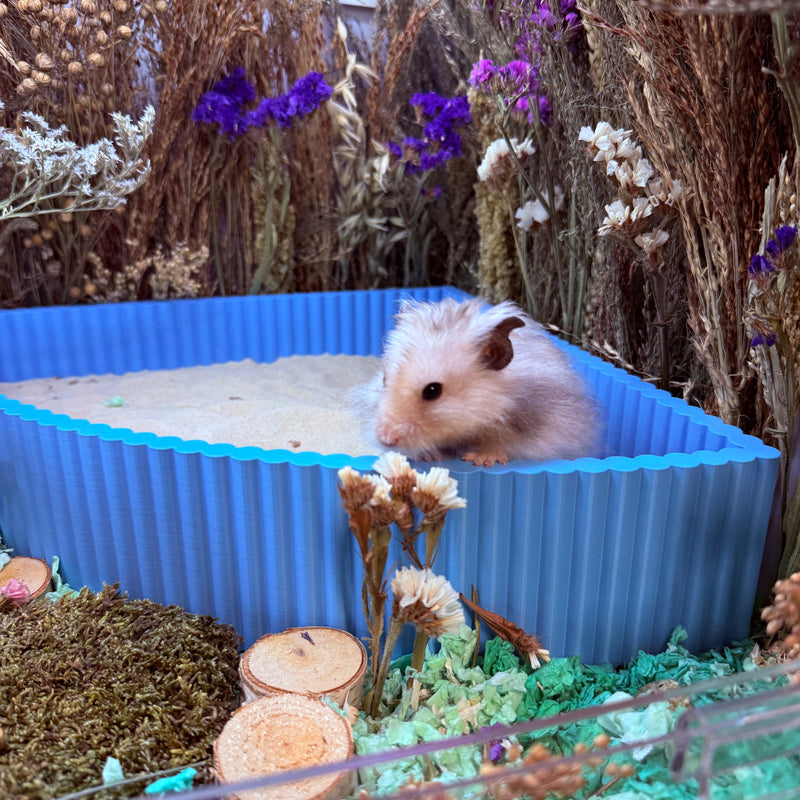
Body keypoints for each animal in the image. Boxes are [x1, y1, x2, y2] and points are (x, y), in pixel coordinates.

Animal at [366, 297, 603, 466]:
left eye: (432, 390)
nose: (385, 439)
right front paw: (428, 456)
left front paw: (480, 460)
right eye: (384, 380)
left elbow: (504, 443)